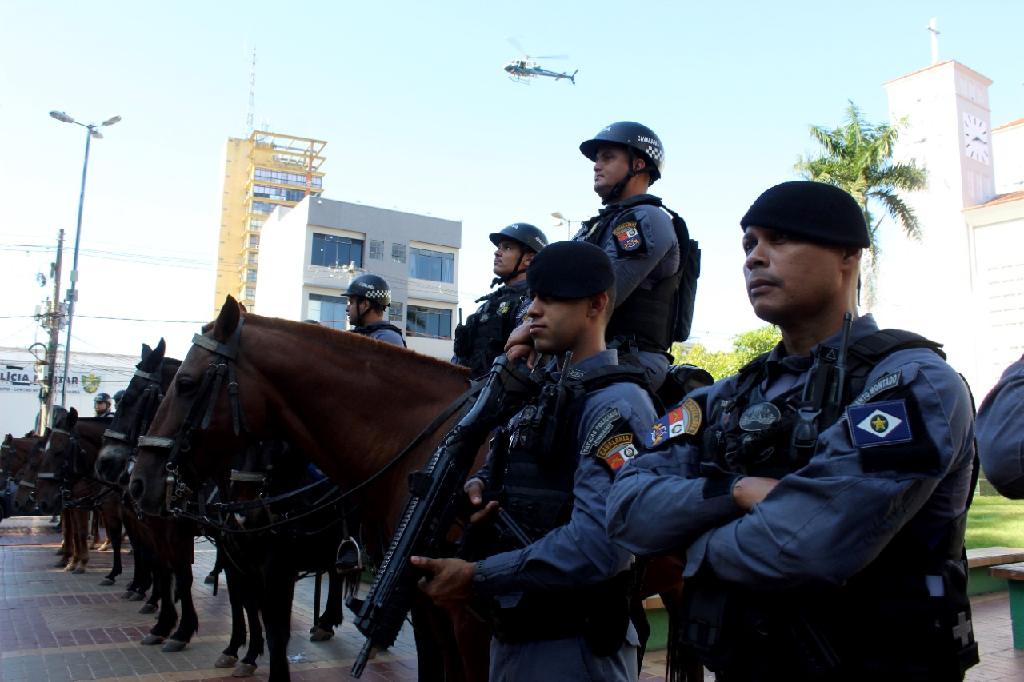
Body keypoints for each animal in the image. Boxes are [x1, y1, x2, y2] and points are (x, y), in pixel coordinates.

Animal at [129, 296, 491, 679]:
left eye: (185, 383)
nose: (138, 483)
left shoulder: (466, 616)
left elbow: (272, 627)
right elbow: (244, 604)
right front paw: (234, 649)